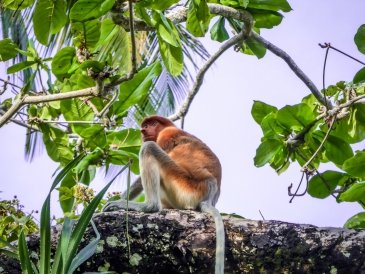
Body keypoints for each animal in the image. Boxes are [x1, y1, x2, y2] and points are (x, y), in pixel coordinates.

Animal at [103, 114, 225, 272]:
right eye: (145, 125)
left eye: (152, 124)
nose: (143, 130)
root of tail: (210, 194)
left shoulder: (167, 134)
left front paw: (117, 202)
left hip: (184, 186)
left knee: (149, 147)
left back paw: (149, 206)